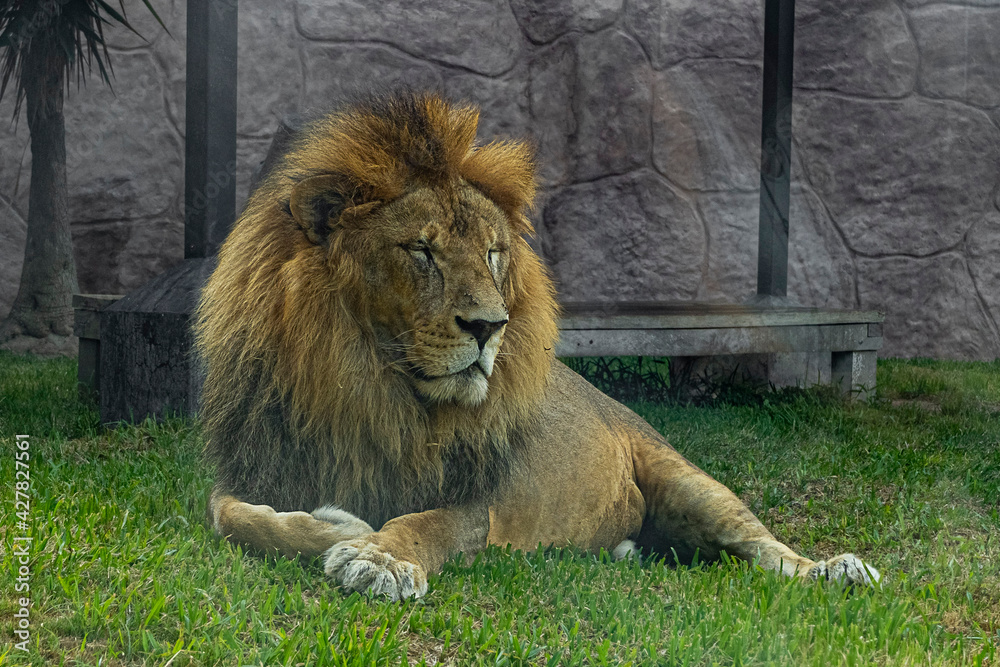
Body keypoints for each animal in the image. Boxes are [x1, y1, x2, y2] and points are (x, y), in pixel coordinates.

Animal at [195, 91, 879, 600]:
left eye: (493, 253)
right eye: (422, 251)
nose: (489, 326)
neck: (367, 389)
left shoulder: (477, 502)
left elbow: (422, 522)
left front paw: (378, 557)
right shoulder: (259, 464)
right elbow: (231, 516)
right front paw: (337, 524)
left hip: (686, 480)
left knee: (761, 545)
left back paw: (837, 571)